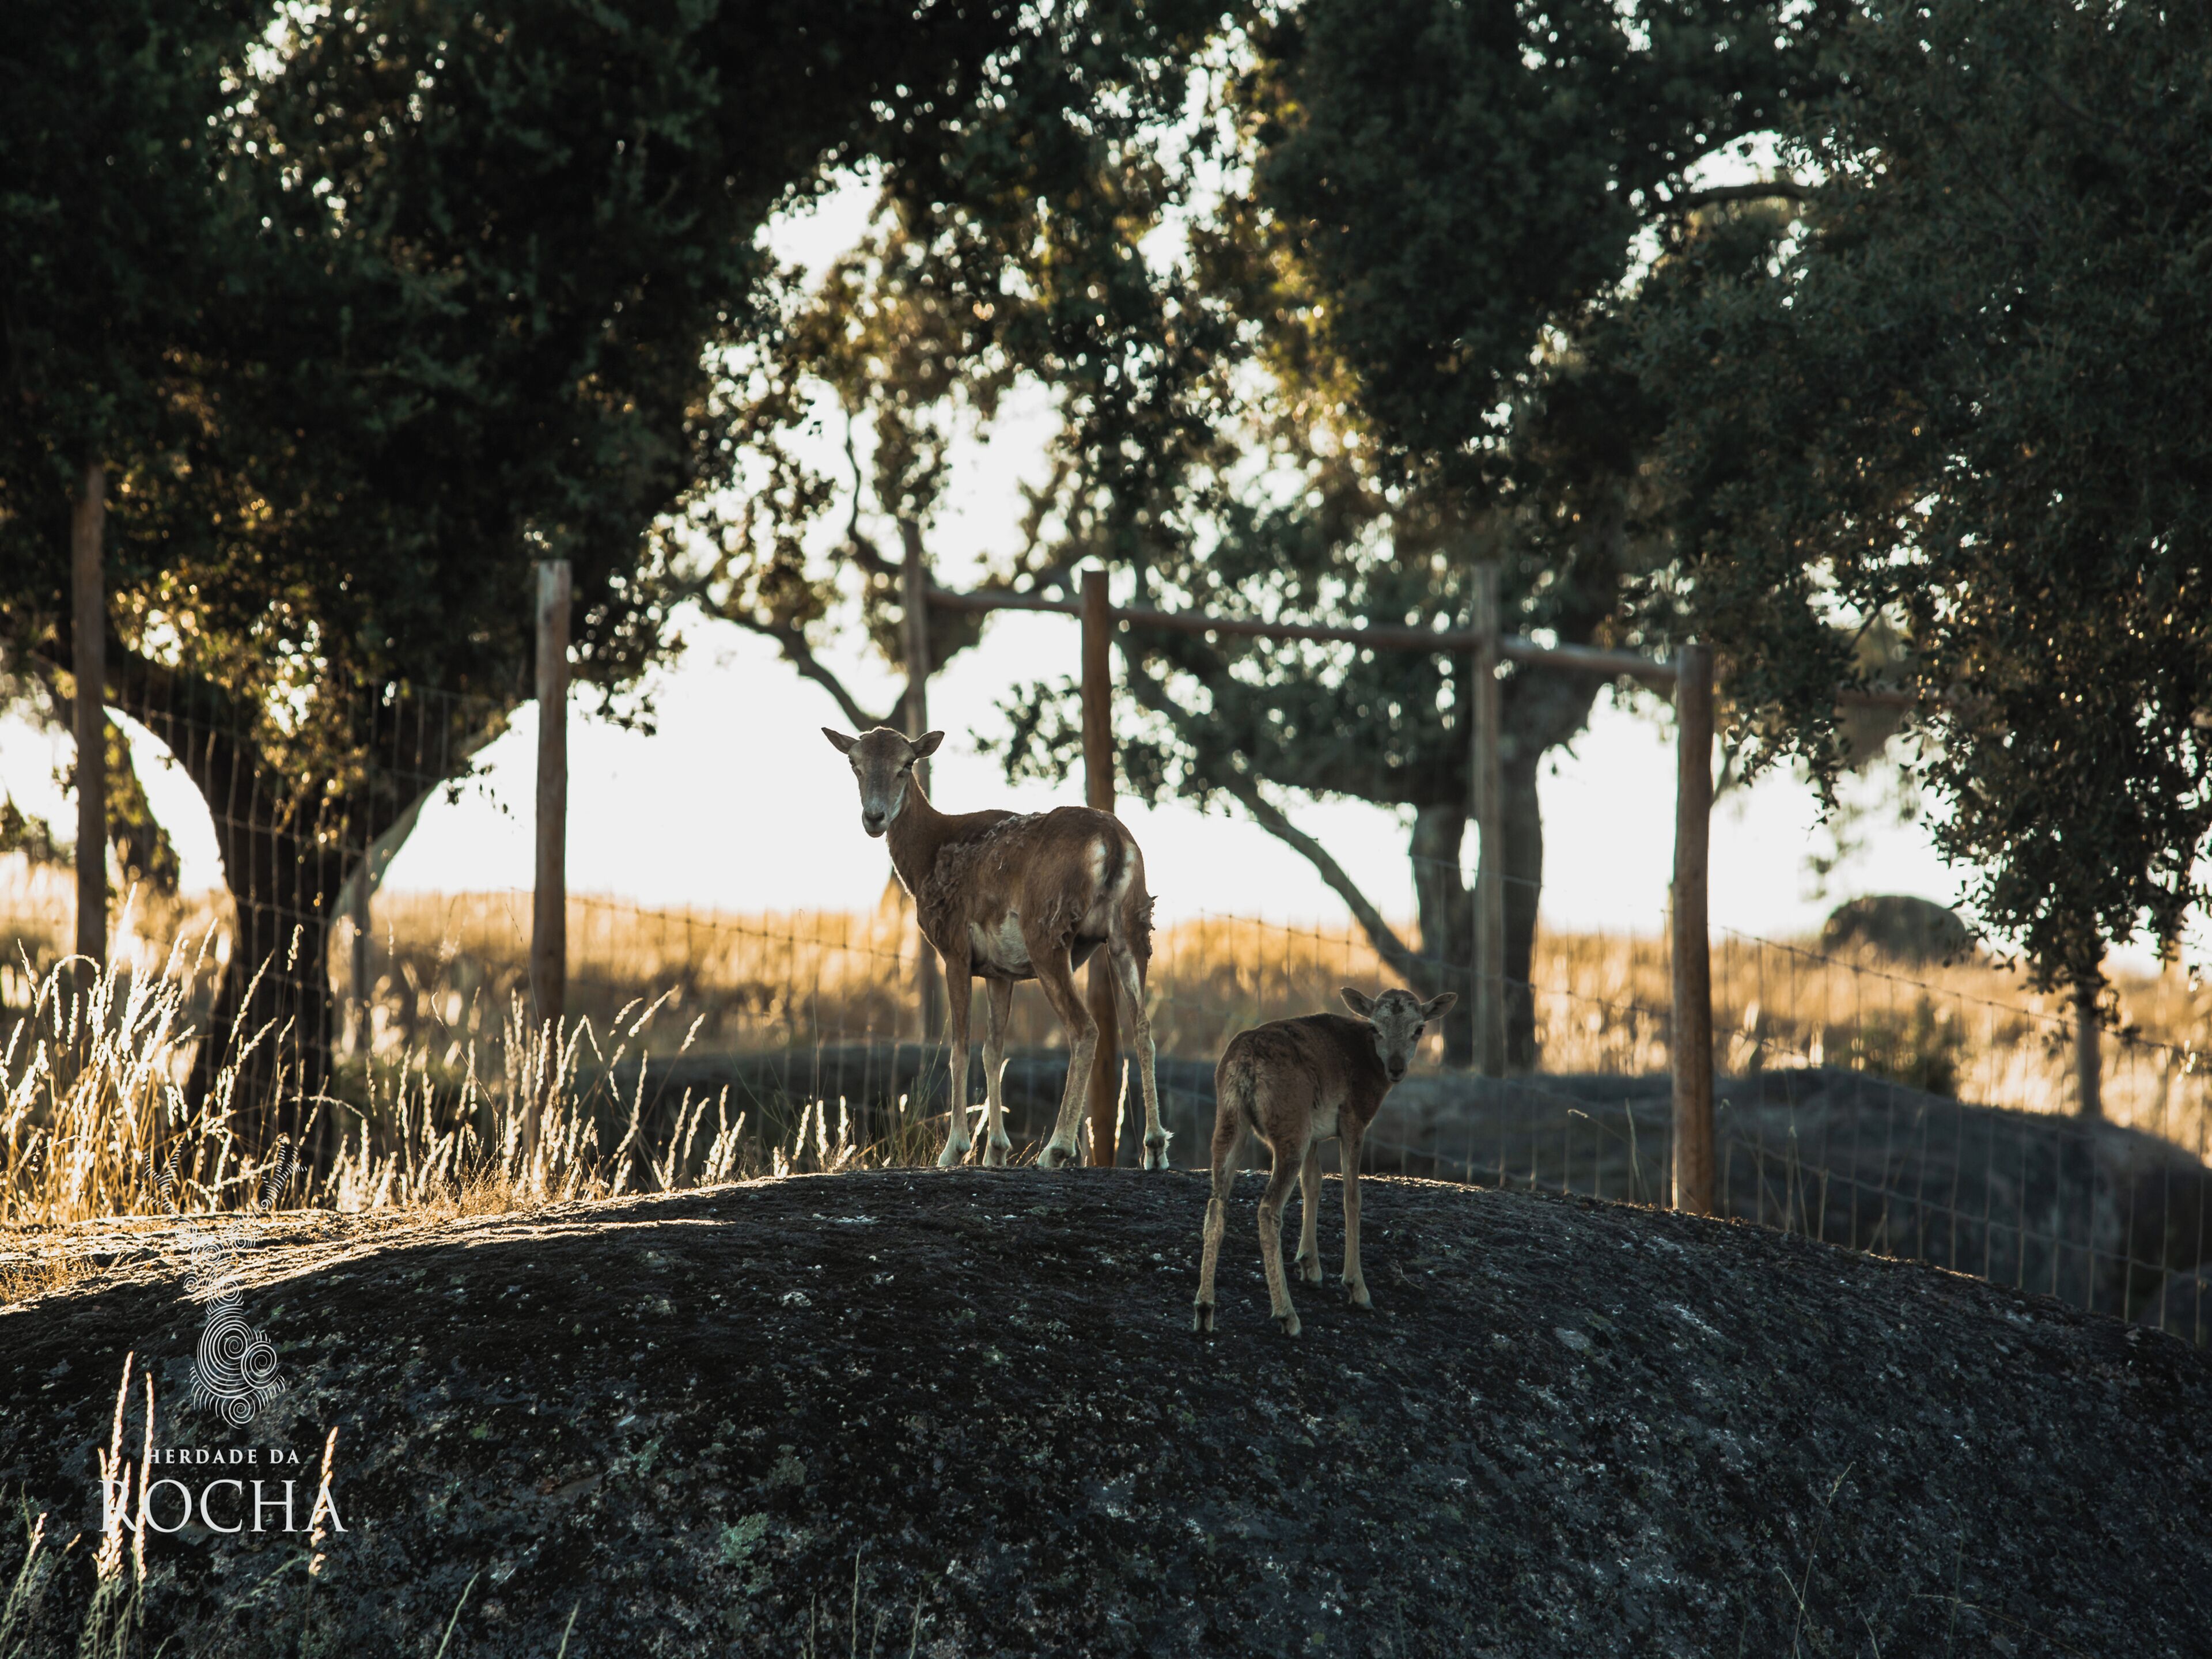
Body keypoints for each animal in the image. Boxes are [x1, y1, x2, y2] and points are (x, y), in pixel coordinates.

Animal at [822, 725, 1170, 1172]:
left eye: (907, 764)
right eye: (855, 762)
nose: (874, 818)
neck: (926, 859)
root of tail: (1113, 844)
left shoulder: (954, 950)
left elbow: (959, 1047)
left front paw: (954, 1149)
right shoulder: (998, 971)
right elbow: (994, 1050)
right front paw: (996, 1151)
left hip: (1048, 934)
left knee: (1086, 1028)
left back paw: (1055, 1149)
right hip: (1132, 928)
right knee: (1143, 1027)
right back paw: (1155, 1148)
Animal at [1193, 986, 1455, 1337]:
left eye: (1419, 1028)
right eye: (1375, 1027)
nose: (1397, 1069)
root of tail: (1245, 1064)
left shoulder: (1315, 1135)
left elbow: (1313, 1184)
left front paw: (1310, 1267)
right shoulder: (1353, 1120)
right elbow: (1352, 1196)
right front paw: (1357, 1288)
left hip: (1230, 1120)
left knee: (1216, 1204)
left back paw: (1204, 1310)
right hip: (1290, 1128)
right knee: (1268, 1208)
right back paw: (1288, 1316)